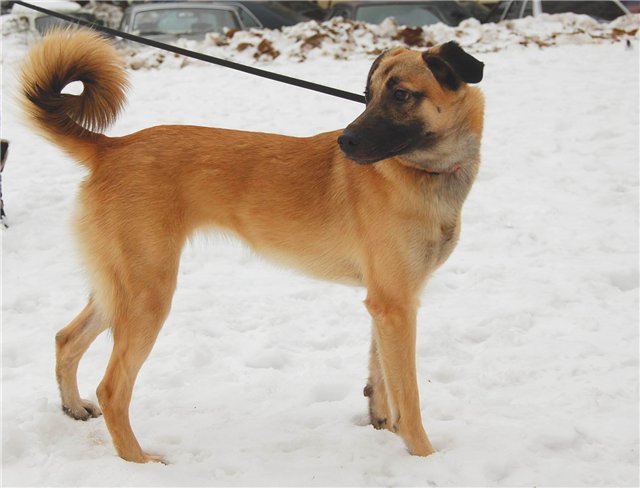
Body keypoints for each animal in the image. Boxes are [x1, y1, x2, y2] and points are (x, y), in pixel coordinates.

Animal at [21, 29, 484, 463]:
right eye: (369, 97)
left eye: (401, 95)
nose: (345, 142)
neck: (425, 172)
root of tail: (112, 147)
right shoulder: (396, 306)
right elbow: (409, 394)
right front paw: (424, 456)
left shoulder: (387, 302)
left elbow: (381, 379)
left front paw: (383, 427)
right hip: (148, 294)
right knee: (113, 388)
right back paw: (140, 461)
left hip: (120, 288)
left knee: (66, 338)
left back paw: (73, 408)